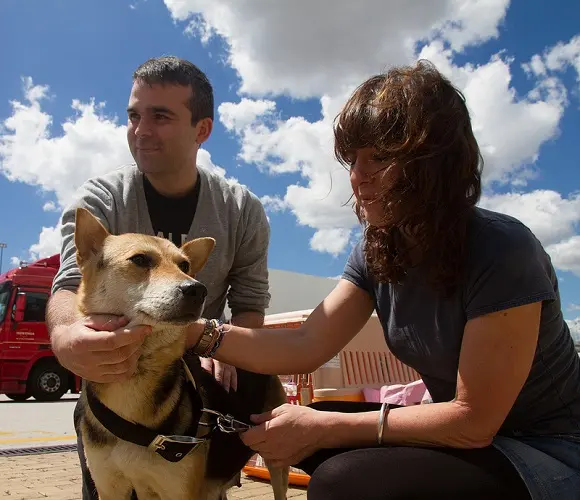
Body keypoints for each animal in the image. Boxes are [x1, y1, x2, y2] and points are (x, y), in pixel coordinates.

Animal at [72, 208, 290, 500]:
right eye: (140, 260)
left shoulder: (180, 490)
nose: (197, 289)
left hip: (275, 454)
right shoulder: (110, 487)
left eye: (184, 266)